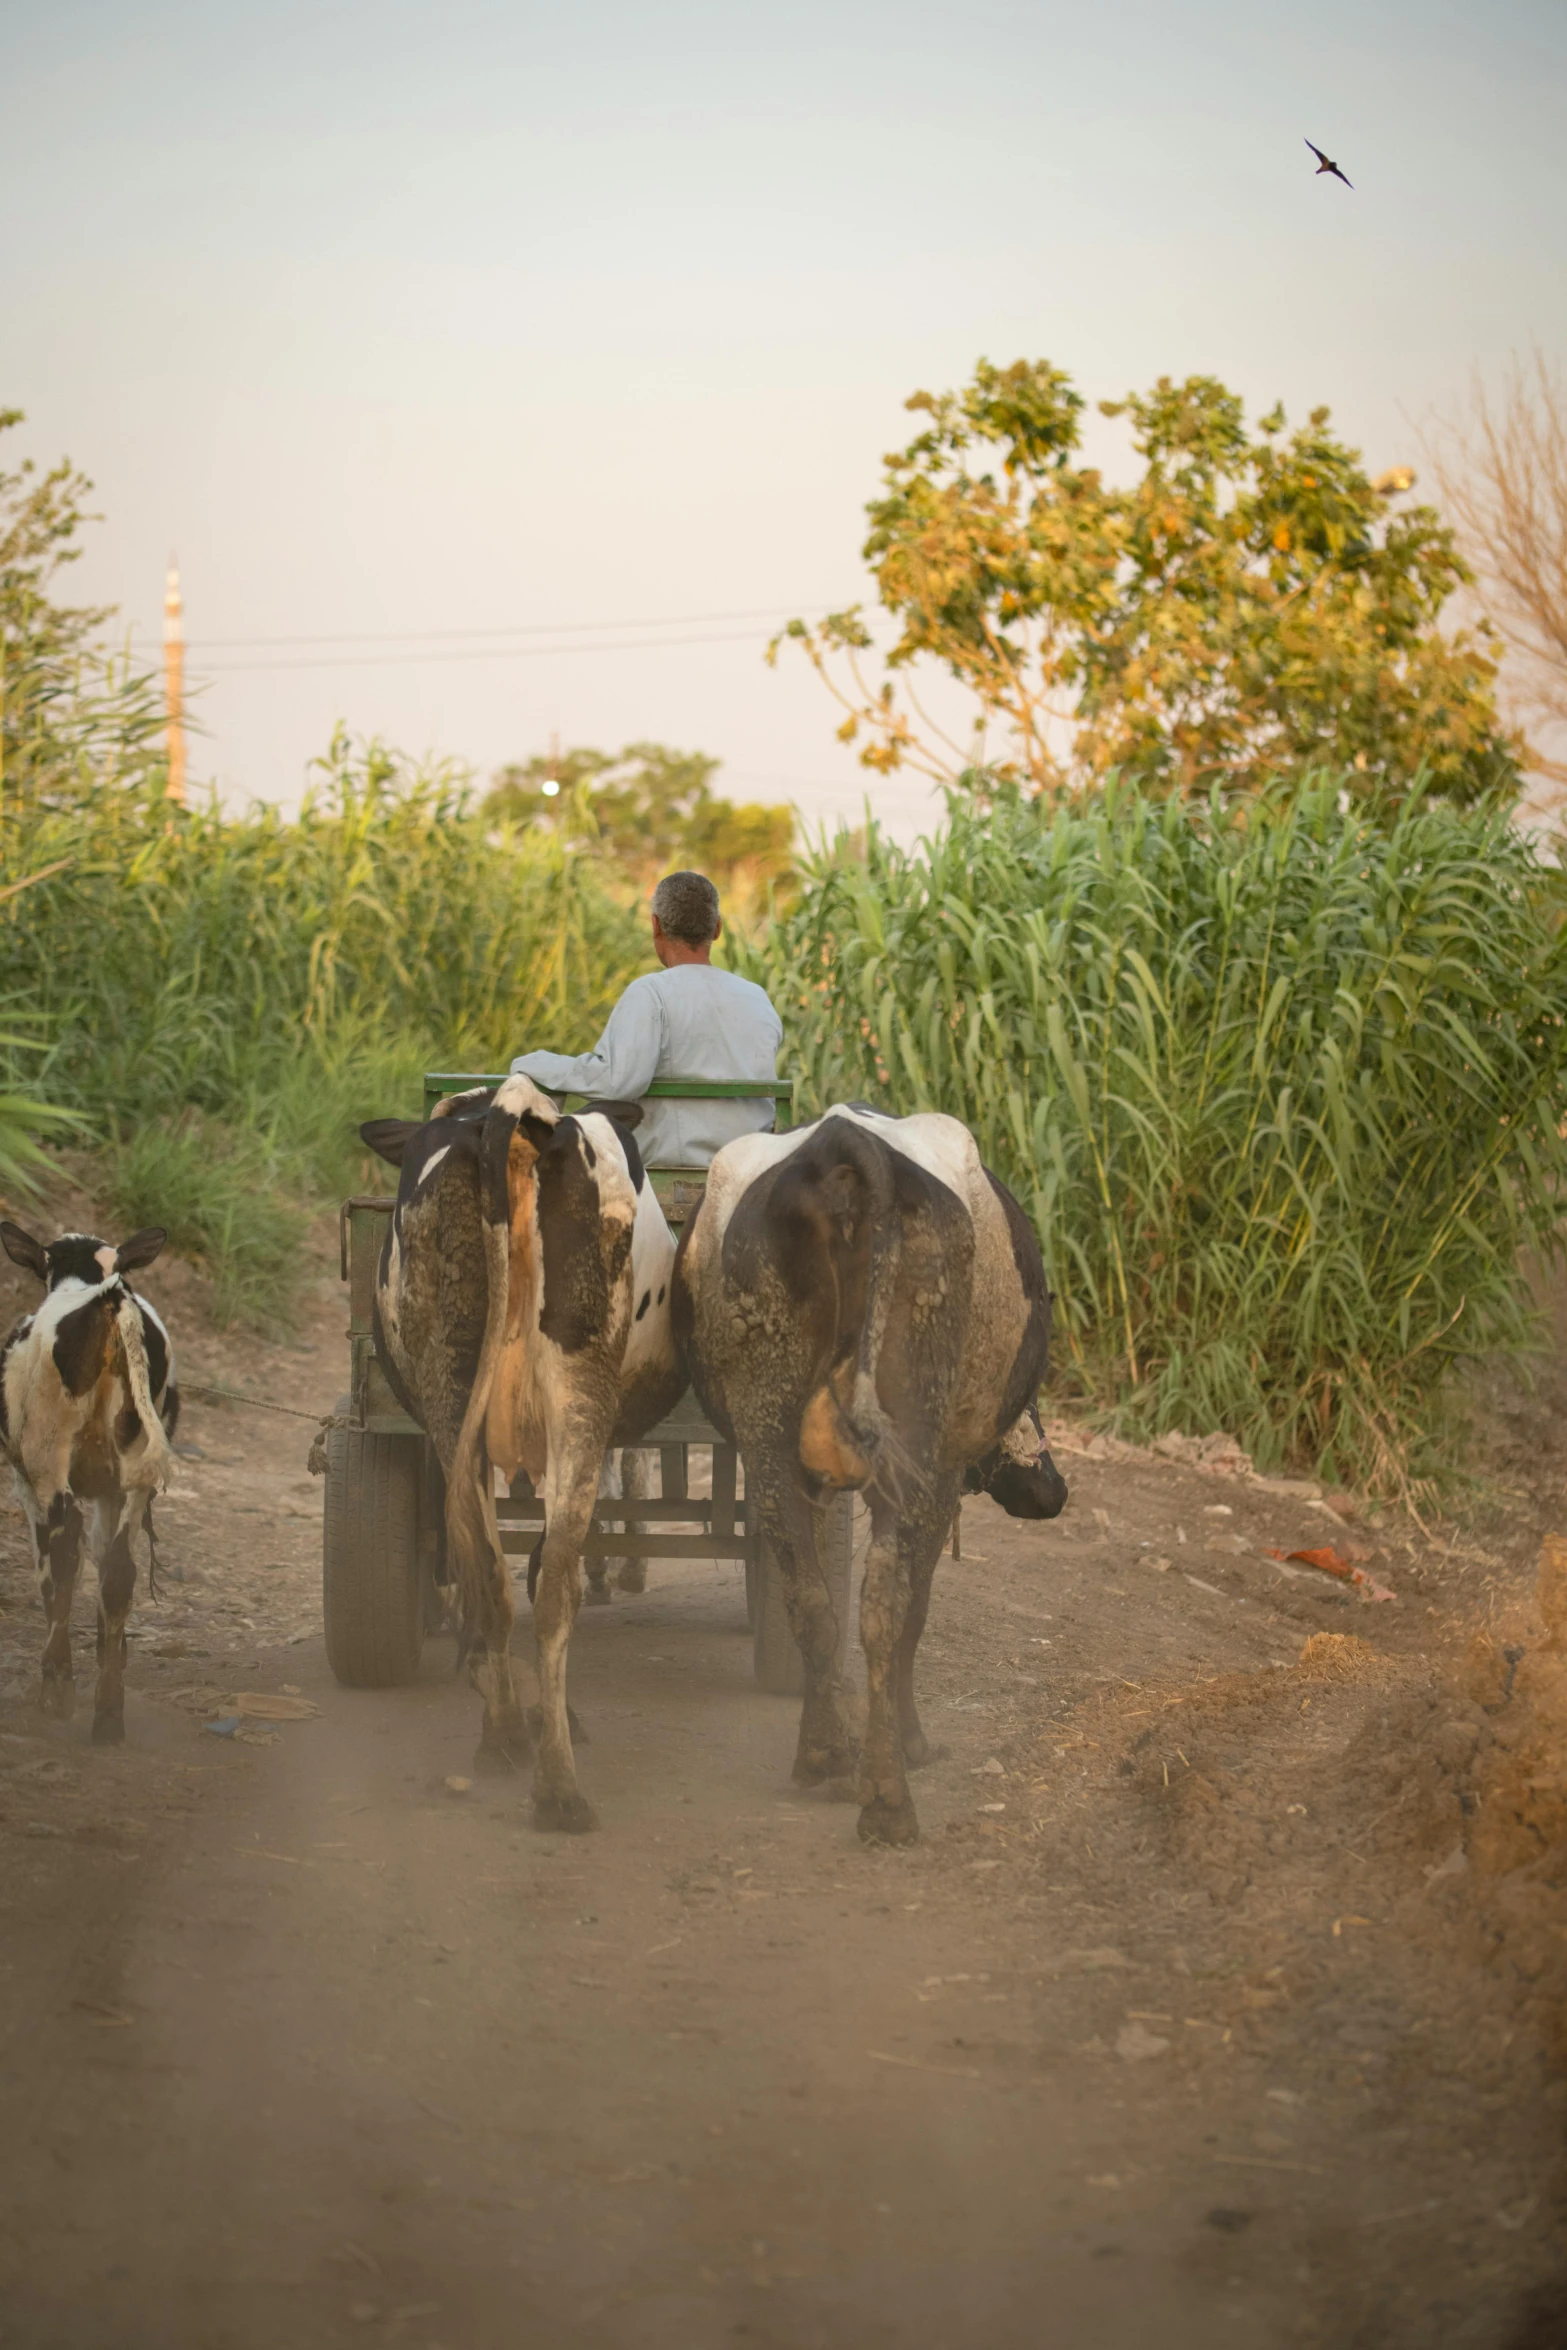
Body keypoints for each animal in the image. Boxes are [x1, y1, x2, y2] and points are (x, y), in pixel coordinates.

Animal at [0, 1231, 179, 1748]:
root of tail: (111, 1301)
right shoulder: (110, 1490)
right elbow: (103, 1561)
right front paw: (110, 1653)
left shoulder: (26, 1480)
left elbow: (51, 1566)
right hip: (135, 1471)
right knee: (119, 1570)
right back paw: (108, 1714)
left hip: (48, 1457)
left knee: (64, 1552)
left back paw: (58, 1689)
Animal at [371, 1076, 690, 1823]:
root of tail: (510, 1110)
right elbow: (550, 1560)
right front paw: (558, 1714)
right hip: (581, 1399)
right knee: (554, 1586)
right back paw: (558, 1783)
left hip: (450, 1388)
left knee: (487, 1571)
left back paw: (504, 1738)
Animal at [676, 1109, 1066, 1842]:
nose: (1050, 1489)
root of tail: (846, 1146)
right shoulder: (939, 1475)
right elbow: (915, 1607)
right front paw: (913, 1742)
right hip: (908, 1437)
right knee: (885, 1601)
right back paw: (887, 1796)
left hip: (767, 1433)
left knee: (809, 1599)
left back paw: (825, 1754)